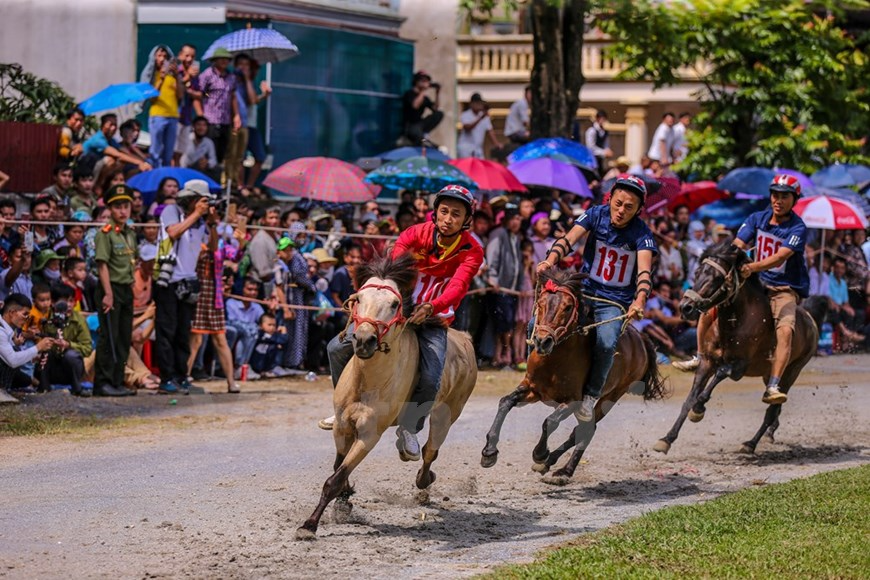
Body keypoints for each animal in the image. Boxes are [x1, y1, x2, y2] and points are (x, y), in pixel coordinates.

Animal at [298, 254, 476, 540]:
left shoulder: (369, 434)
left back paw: (423, 476)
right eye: (359, 297)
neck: (368, 381)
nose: (364, 340)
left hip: (446, 415)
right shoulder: (342, 425)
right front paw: (344, 500)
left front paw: (309, 525)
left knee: (430, 451)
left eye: (394, 303)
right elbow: (338, 468)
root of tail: (466, 338)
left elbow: (334, 480)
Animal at [480, 270, 672, 482]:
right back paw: (550, 464)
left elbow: (550, 421)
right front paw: (489, 452)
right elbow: (505, 402)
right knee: (583, 430)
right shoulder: (532, 389)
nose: (542, 341)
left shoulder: (573, 400)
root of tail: (641, 338)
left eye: (568, 307)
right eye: (540, 303)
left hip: (611, 396)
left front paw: (540, 453)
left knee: (587, 429)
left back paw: (564, 470)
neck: (555, 360)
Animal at [656, 240, 828, 454]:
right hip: (767, 374)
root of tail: (810, 318)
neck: (736, 319)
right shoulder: (707, 362)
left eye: (717, 278)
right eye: (696, 273)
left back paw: (751, 443)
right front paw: (666, 439)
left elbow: (720, 374)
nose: (685, 307)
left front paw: (699, 409)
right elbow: (689, 398)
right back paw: (770, 432)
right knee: (776, 404)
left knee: (772, 408)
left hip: (792, 371)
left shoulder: (740, 366)